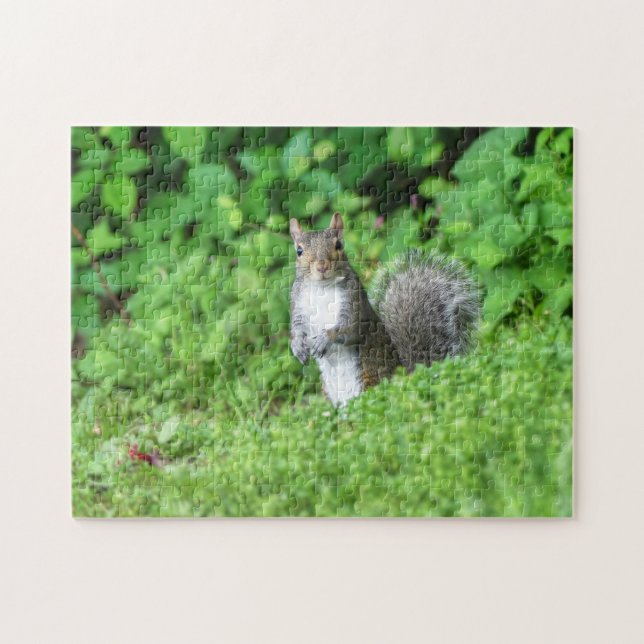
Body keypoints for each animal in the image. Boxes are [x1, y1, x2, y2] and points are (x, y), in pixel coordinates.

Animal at [289, 212, 480, 407]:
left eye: (338, 245)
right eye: (299, 251)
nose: (322, 266)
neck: (322, 289)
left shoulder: (354, 305)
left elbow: (349, 329)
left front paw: (324, 338)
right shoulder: (298, 305)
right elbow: (297, 329)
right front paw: (297, 346)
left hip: (370, 384)